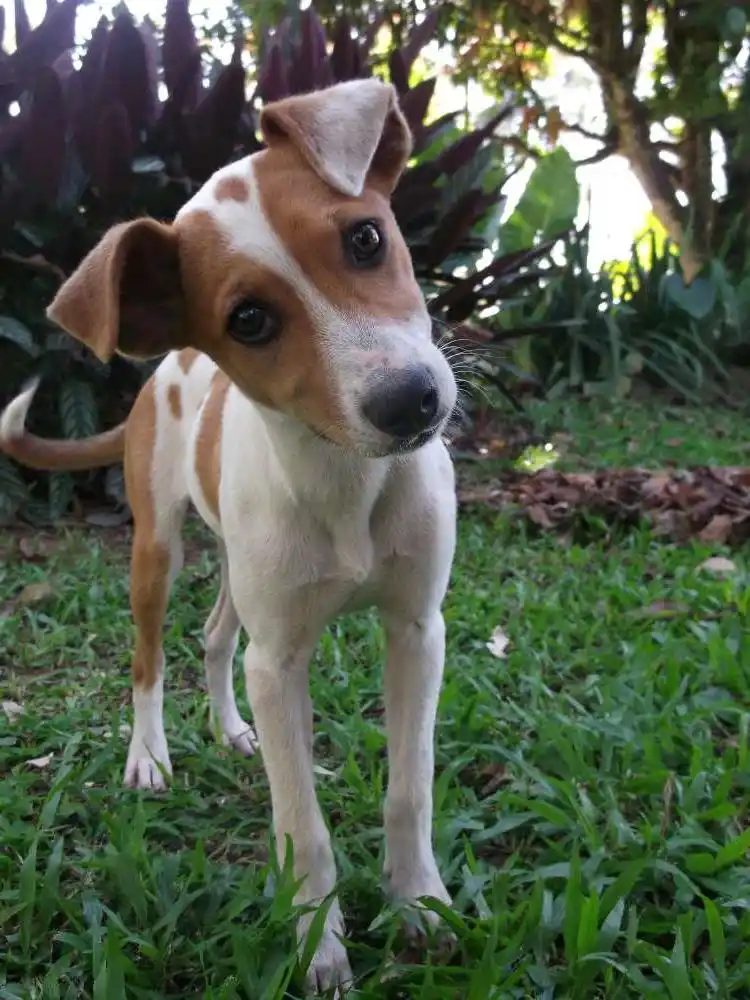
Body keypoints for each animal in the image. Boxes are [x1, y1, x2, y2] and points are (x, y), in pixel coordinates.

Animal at [0, 80, 462, 992]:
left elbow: (410, 787)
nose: (411, 402)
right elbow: (302, 825)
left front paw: (419, 904)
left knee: (216, 638)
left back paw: (230, 728)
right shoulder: (280, 664)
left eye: (366, 238)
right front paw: (318, 946)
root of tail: (162, 373)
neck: (346, 480)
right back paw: (150, 755)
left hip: (242, 576)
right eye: (248, 320)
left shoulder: (415, 629)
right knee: (148, 658)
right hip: (159, 549)